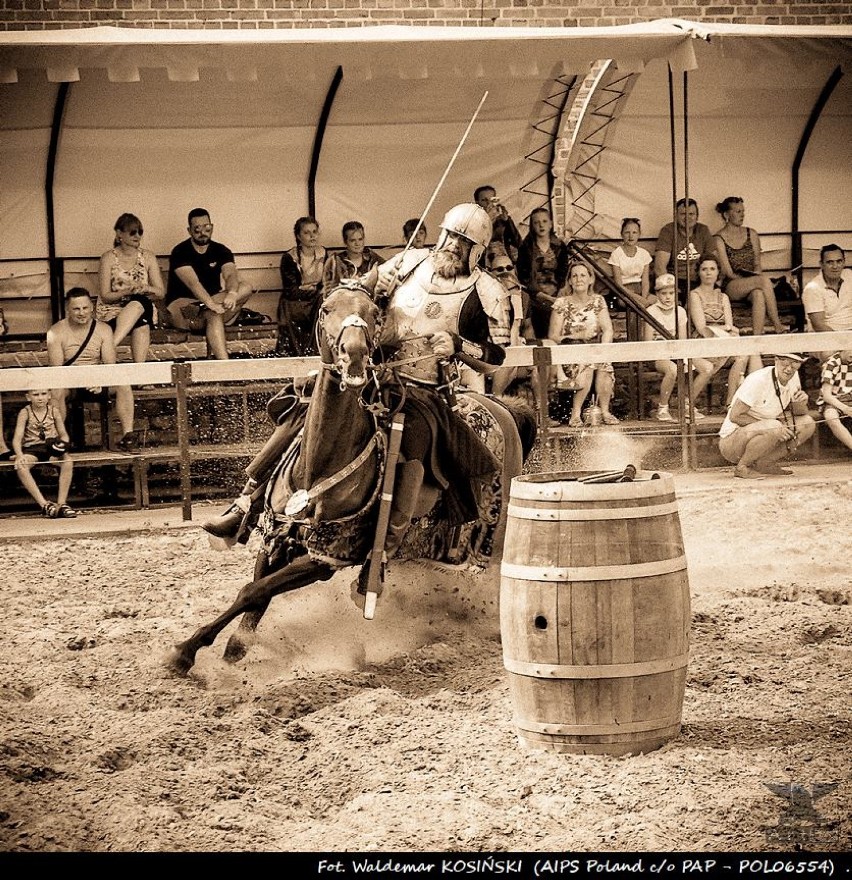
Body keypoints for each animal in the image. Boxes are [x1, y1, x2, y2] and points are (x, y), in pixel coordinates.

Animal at [167, 286, 536, 676]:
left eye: (373, 312)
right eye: (327, 308)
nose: (355, 353)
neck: (321, 467)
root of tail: (504, 409)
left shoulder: (325, 558)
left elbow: (253, 592)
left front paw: (186, 651)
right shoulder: (276, 538)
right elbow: (256, 594)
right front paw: (232, 648)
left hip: (493, 542)